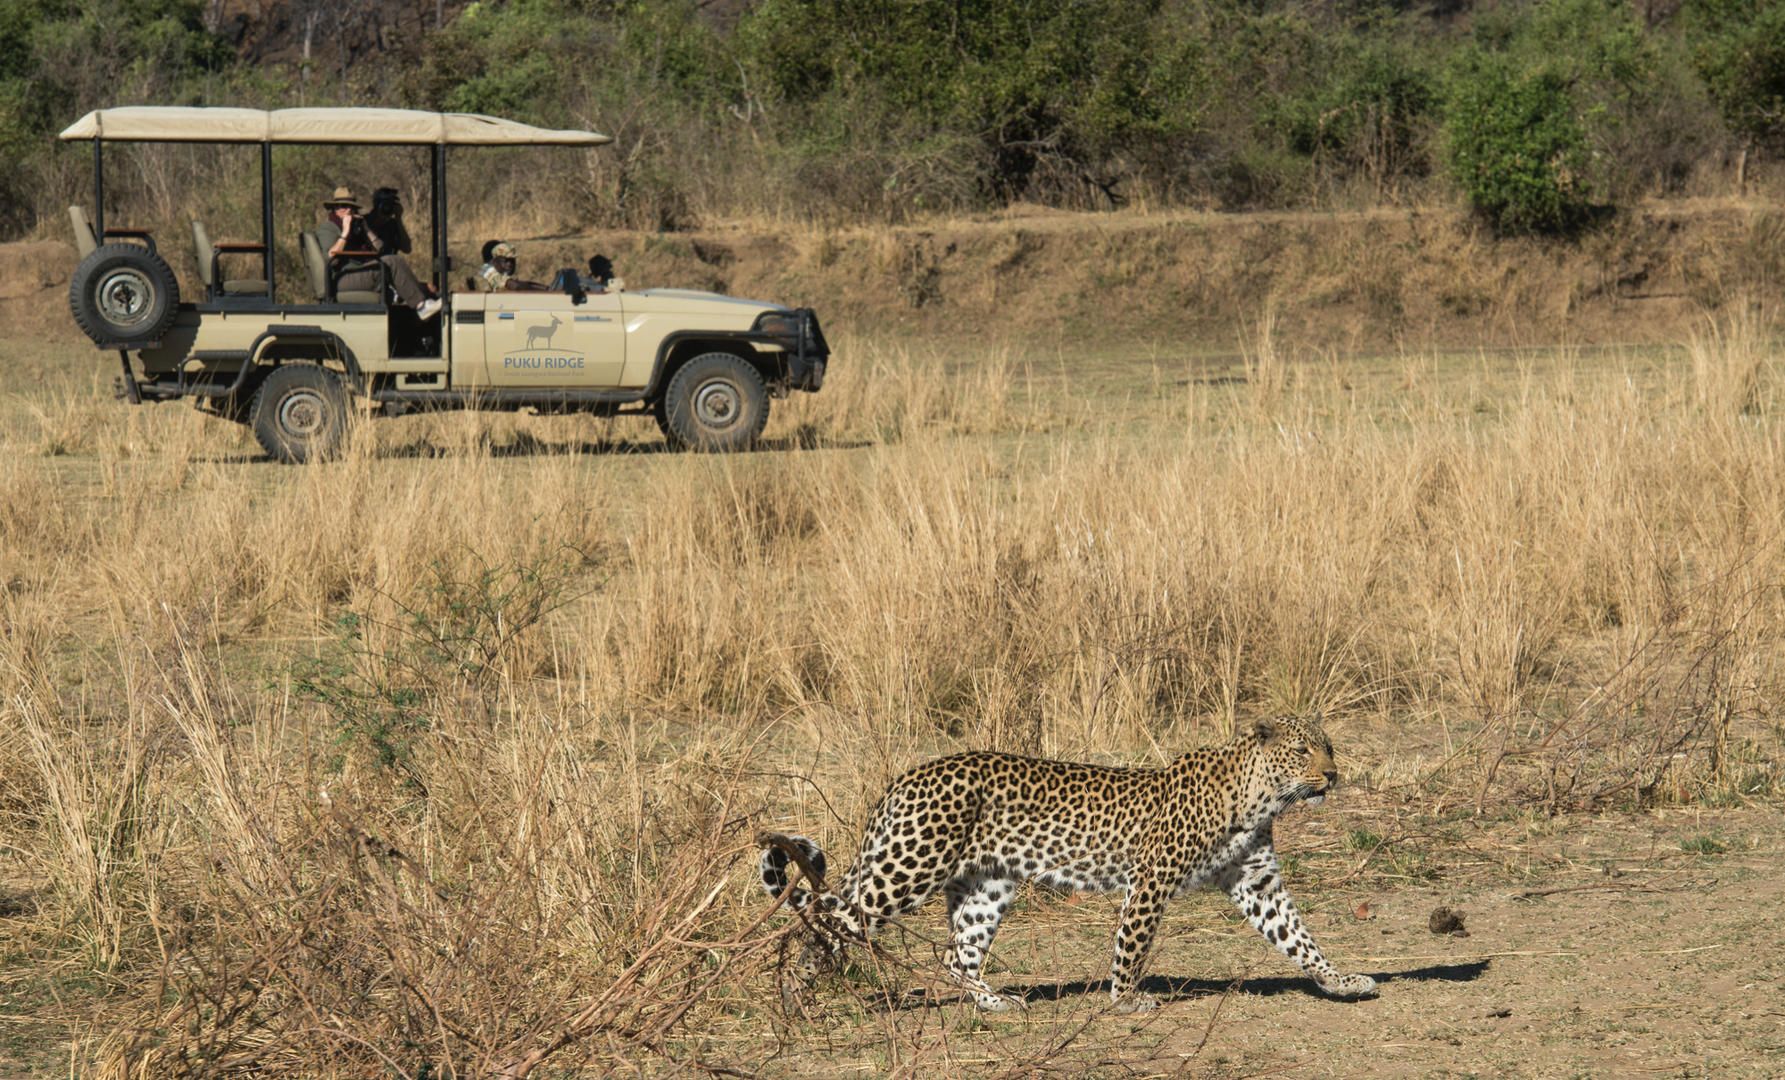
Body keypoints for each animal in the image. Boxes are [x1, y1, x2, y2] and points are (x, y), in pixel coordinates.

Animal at [757, 713, 1377, 1013]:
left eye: (1329, 747)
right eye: (1303, 751)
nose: (1332, 776)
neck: (1257, 798)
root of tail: (903, 779)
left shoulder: (1257, 882)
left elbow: (1298, 937)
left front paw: (1340, 981)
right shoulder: (1151, 880)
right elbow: (1133, 943)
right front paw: (1124, 1000)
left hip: (986, 885)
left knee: (959, 956)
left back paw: (995, 1003)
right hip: (907, 869)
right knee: (824, 922)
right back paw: (795, 995)